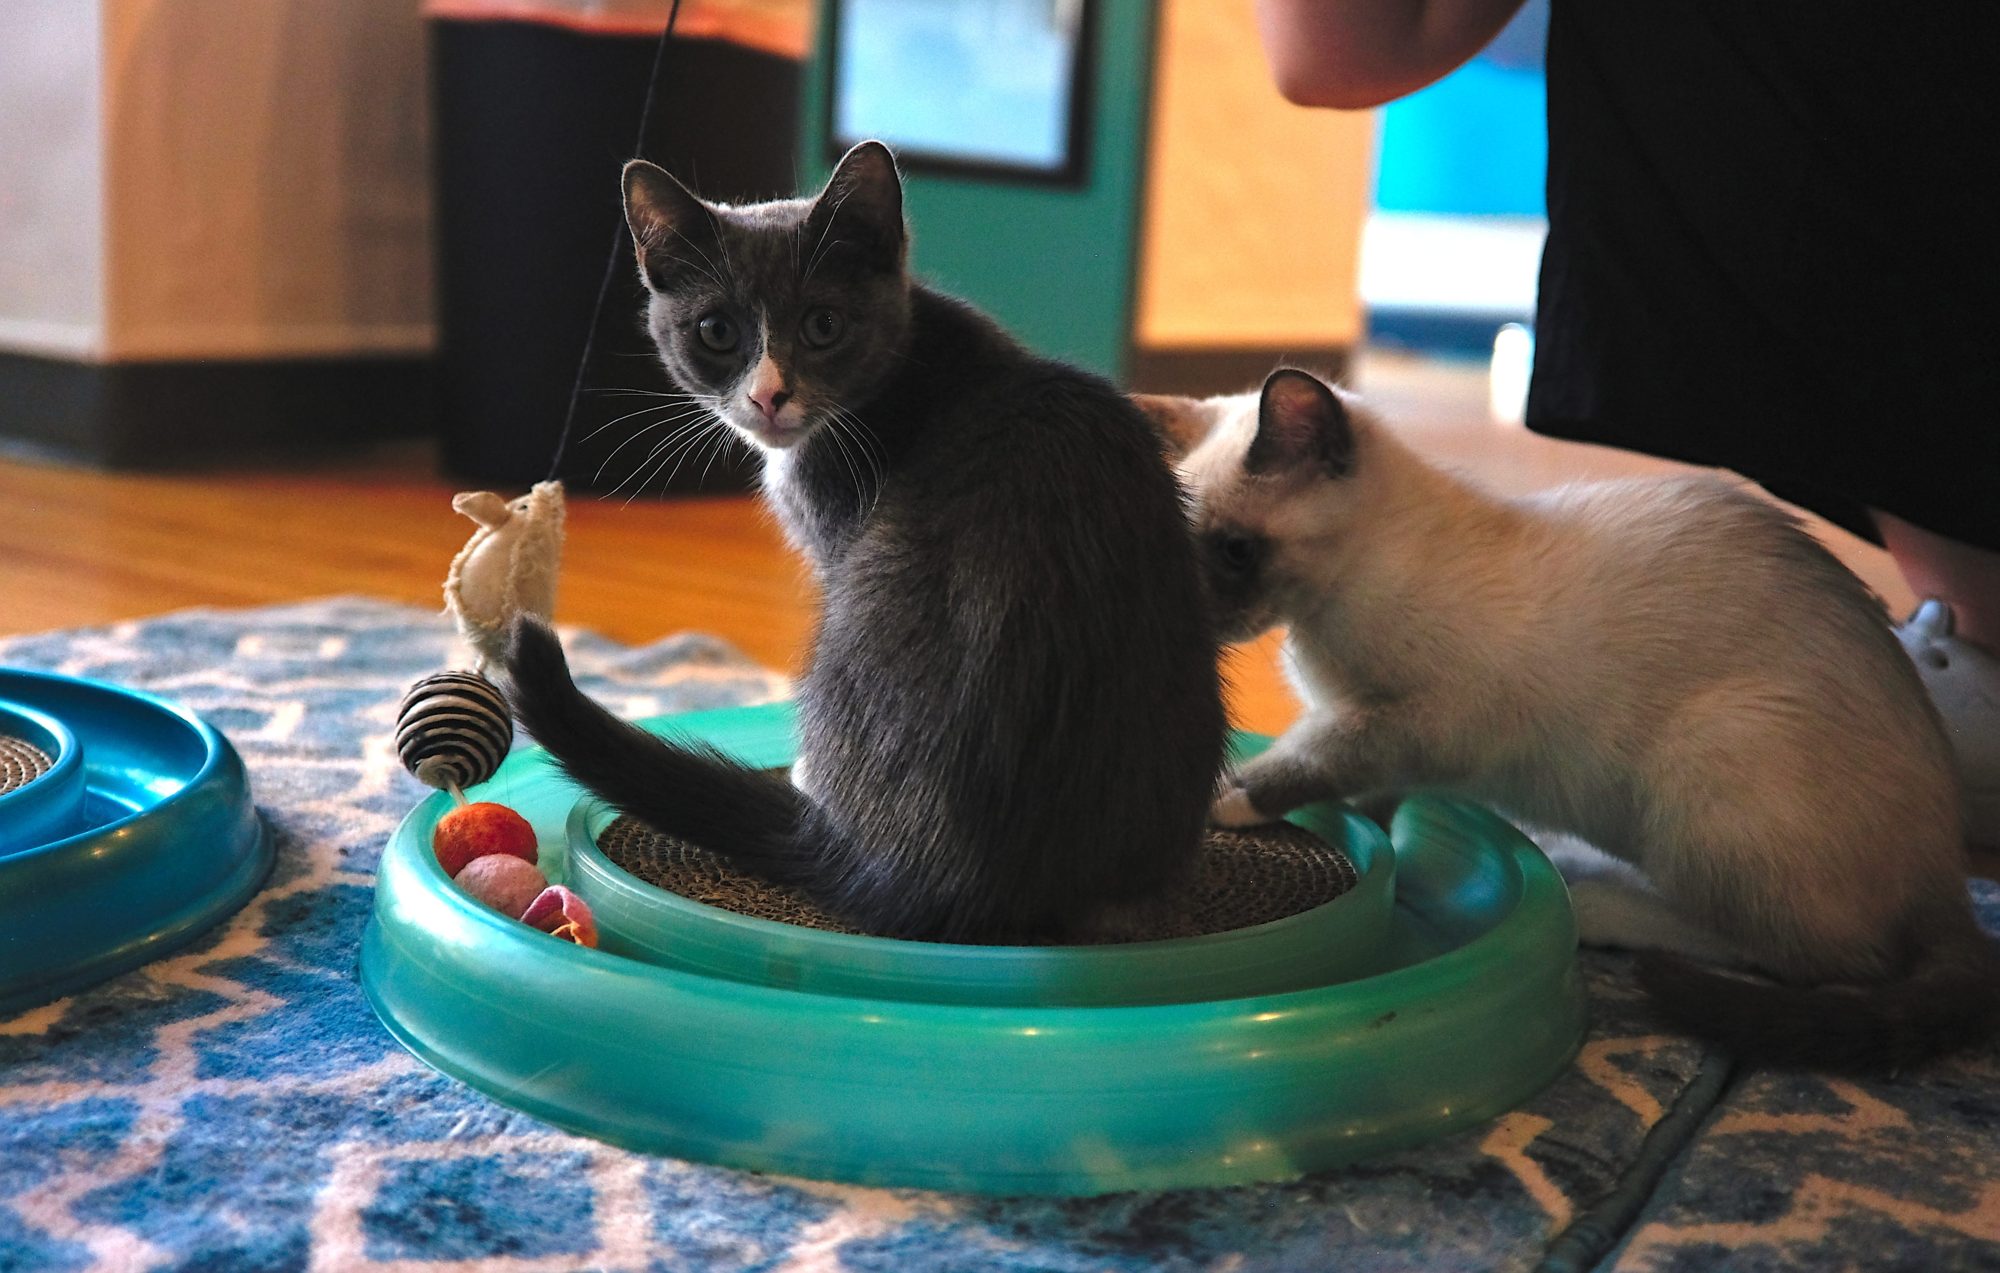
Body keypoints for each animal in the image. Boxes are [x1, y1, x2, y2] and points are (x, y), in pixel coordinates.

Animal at [1144, 370, 2000, 1072]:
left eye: (1235, 550)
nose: (1191, 623)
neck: (1328, 612)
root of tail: (1948, 871)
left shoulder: (1418, 723)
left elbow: (1312, 758)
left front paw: (1234, 798)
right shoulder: (1392, 743)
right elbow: (1372, 803)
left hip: (1705, 763)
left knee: (1813, 958)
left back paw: (1596, 901)